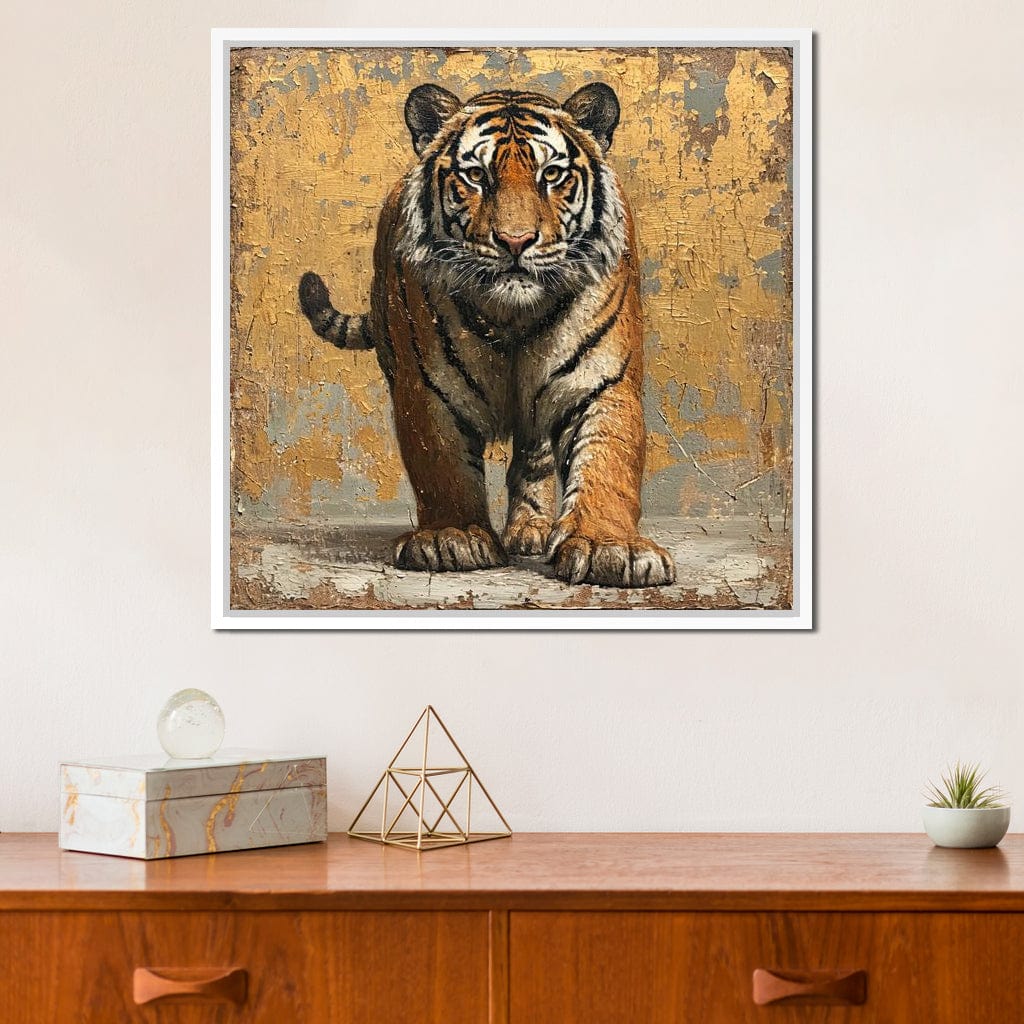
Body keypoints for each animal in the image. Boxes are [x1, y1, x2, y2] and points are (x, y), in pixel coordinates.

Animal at [299, 81, 675, 588]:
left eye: (552, 174)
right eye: (476, 176)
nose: (515, 241)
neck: (513, 315)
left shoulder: (601, 381)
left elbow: (607, 462)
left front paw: (609, 546)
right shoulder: (429, 390)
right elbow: (443, 467)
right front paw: (450, 538)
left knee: (534, 454)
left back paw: (532, 529)